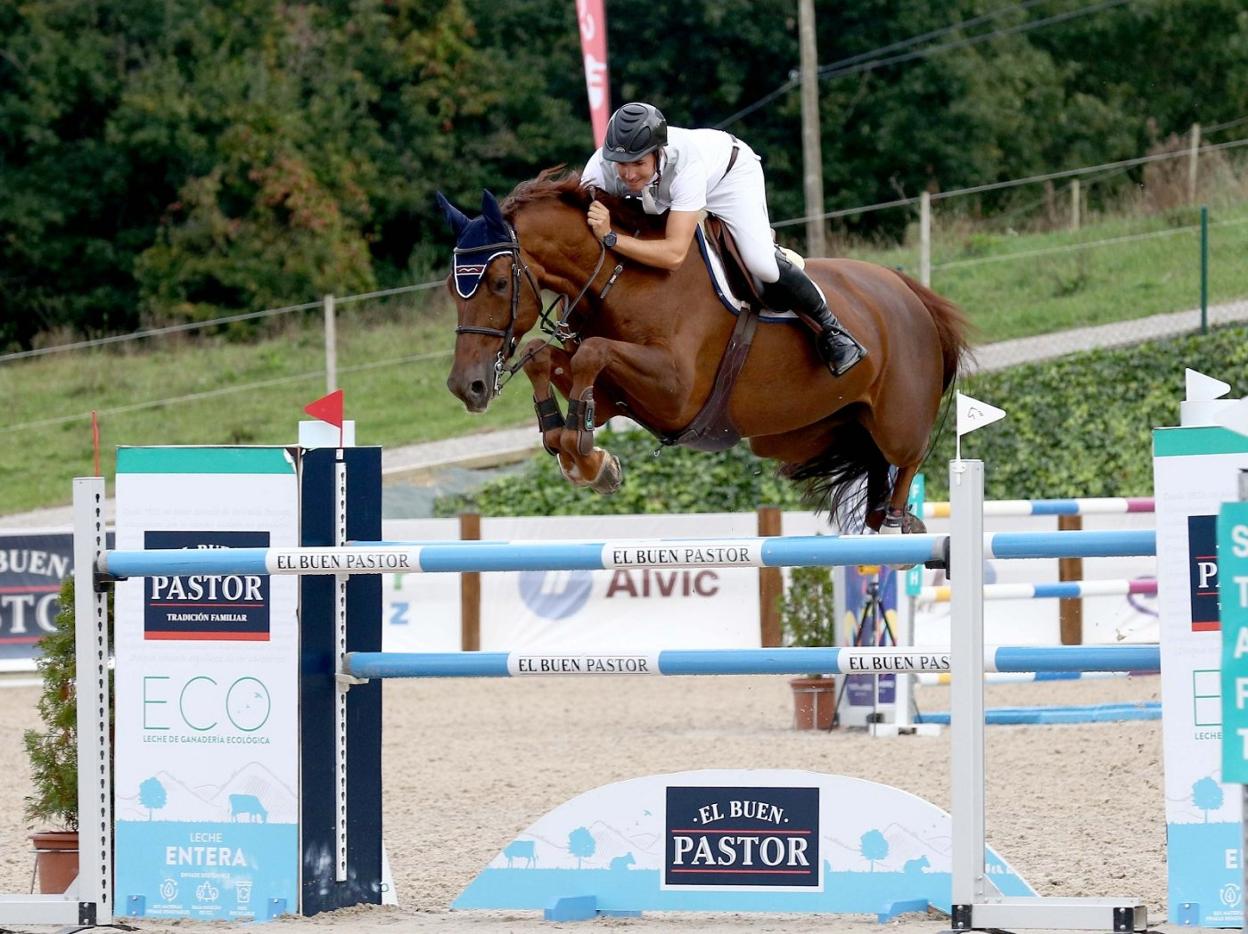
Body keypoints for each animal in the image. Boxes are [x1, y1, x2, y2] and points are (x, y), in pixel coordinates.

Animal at [439, 169, 973, 531]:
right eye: (451, 287)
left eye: (500, 282)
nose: (467, 387)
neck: (623, 278)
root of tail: (911, 292)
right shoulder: (619, 396)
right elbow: (542, 357)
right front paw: (584, 458)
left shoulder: (675, 391)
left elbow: (592, 352)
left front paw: (587, 457)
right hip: (803, 433)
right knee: (874, 466)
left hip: (897, 420)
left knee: (906, 458)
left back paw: (898, 524)